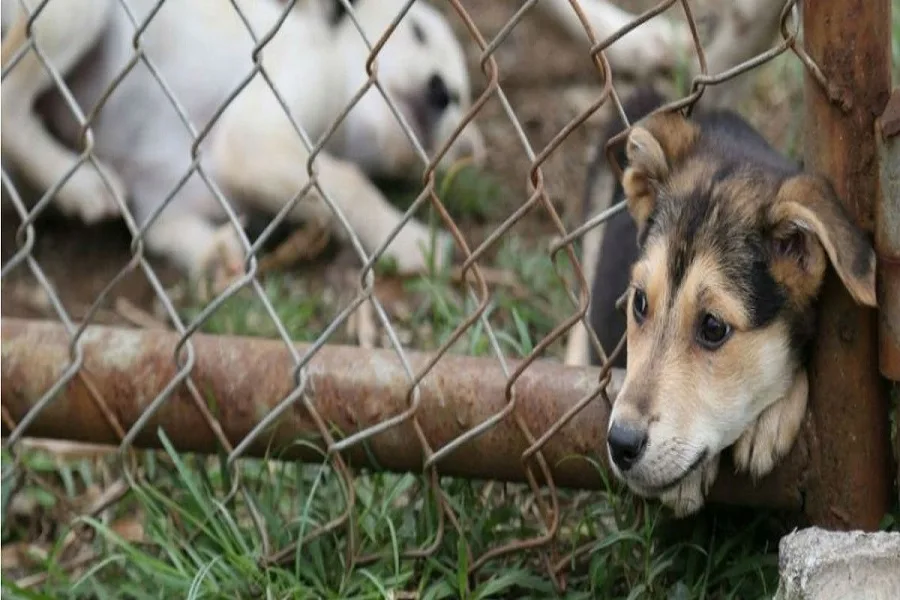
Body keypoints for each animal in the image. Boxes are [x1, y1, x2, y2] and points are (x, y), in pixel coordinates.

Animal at [0, 0, 486, 288]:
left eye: (461, 97)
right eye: (418, 32)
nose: (441, 91)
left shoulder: (167, 204)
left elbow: (167, 235)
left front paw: (216, 259)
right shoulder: (256, 138)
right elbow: (350, 185)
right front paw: (409, 241)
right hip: (77, 13)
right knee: (9, 101)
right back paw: (82, 185)